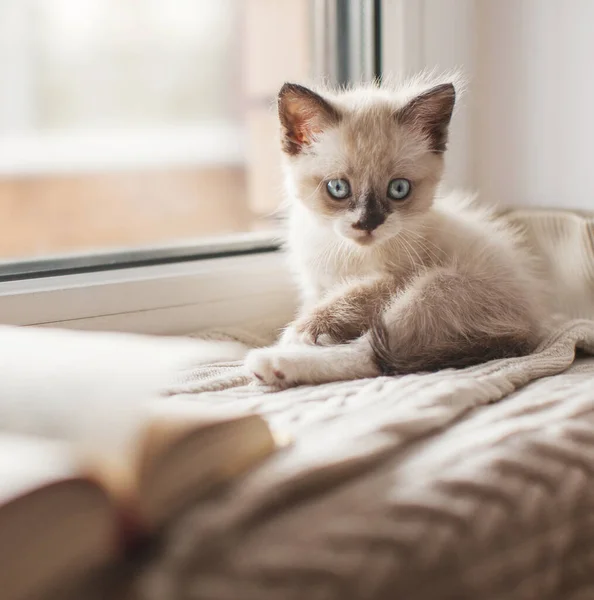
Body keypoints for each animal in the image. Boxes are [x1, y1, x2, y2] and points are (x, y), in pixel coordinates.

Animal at [243, 72, 544, 386]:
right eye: (338, 188)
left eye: (398, 189)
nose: (368, 223)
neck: (347, 253)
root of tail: (529, 328)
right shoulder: (317, 285)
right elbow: (326, 300)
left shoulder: (398, 277)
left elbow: (350, 297)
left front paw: (302, 332)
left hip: (436, 287)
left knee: (370, 357)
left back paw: (273, 363)